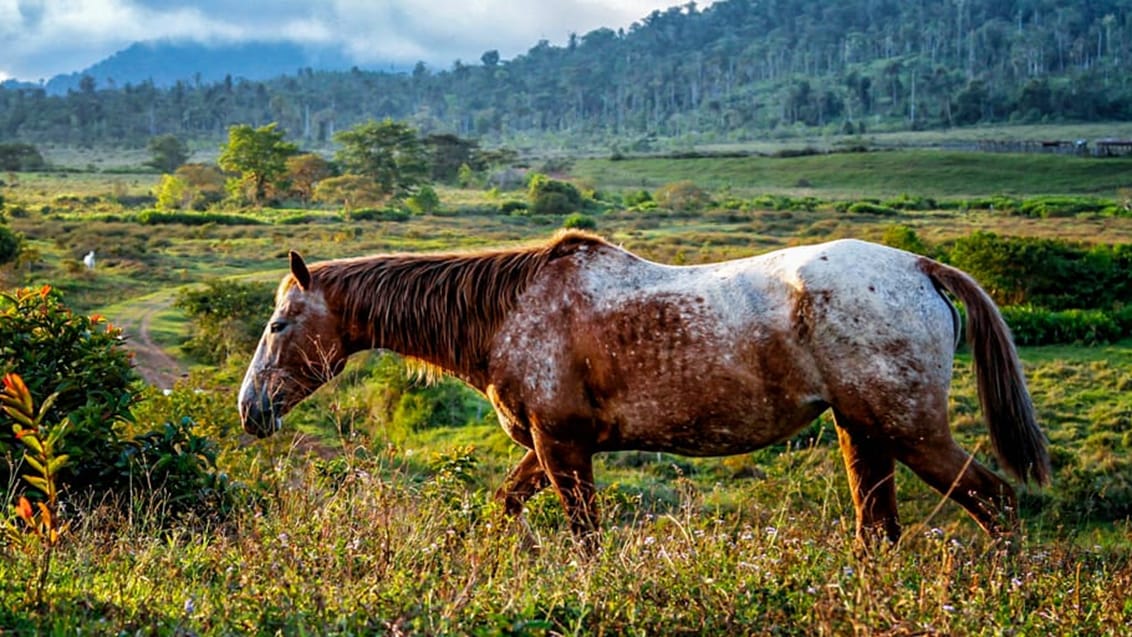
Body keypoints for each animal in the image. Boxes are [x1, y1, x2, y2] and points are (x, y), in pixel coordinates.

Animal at [238, 231, 1050, 549]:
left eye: (278, 323)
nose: (251, 410)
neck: (512, 311)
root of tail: (919, 267)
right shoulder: (548, 448)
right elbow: (502, 508)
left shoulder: (562, 447)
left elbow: (585, 538)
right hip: (866, 435)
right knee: (879, 528)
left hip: (912, 431)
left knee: (996, 502)